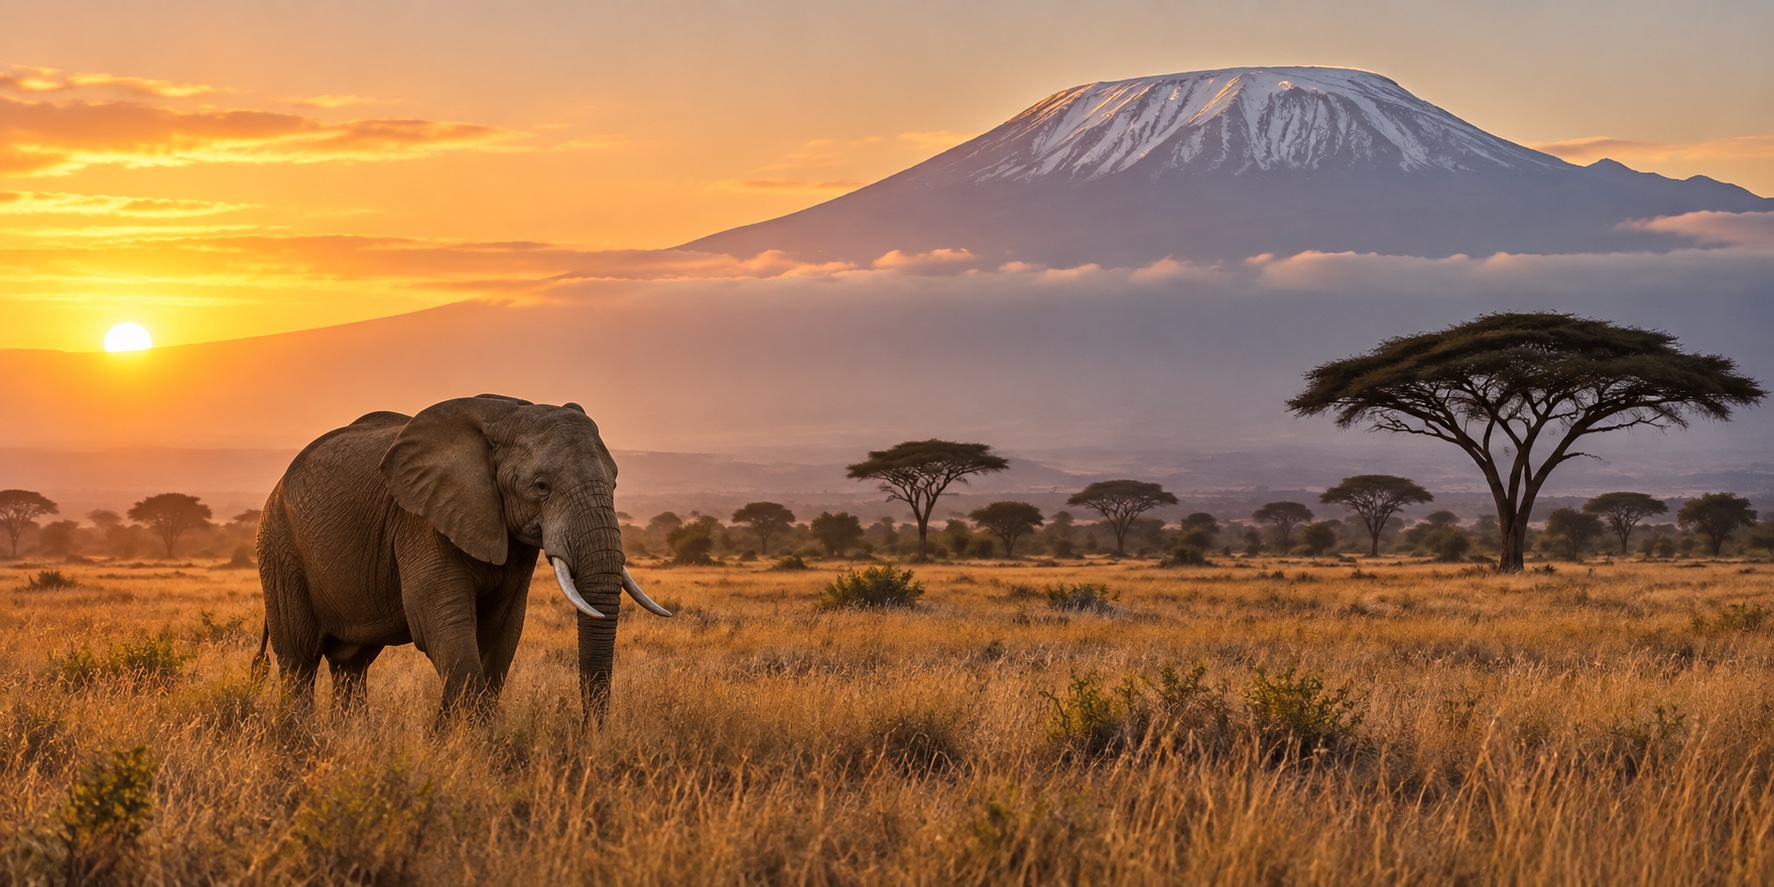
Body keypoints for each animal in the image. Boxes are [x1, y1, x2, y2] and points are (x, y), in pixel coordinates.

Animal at [251, 394, 670, 721]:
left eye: (614, 483)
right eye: (541, 486)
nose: (587, 736)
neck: (509, 412)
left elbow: (502, 632)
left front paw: (455, 740)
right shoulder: (422, 519)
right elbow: (440, 623)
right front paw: (466, 746)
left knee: (352, 665)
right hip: (279, 547)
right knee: (299, 659)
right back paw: (303, 739)